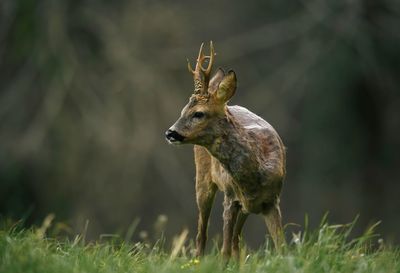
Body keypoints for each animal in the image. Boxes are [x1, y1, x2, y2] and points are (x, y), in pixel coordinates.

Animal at [166, 41, 288, 260]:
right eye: (182, 111)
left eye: (199, 113)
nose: (170, 133)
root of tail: (232, 104)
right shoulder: (230, 198)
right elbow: (223, 251)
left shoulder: (272, 201)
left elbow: (281, 246)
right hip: (203, 181)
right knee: (202, 235)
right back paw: (198, 260)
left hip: (246, 207)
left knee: (236, 242)